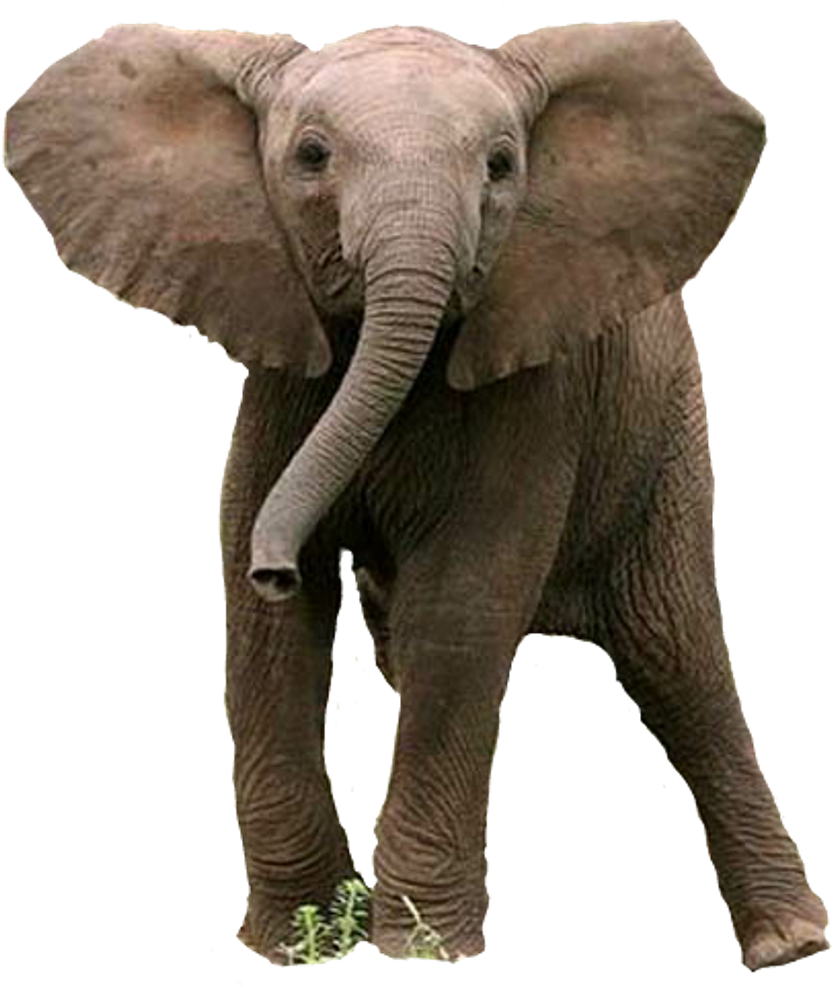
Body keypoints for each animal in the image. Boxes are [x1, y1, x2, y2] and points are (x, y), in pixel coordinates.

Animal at [3, 19, 828, 969]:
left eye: (501, 165)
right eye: (311, 156)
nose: (273, 566)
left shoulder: (535, 391)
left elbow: (460, 605)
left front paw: (423, 948)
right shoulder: (283, 382)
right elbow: (274, 630)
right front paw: (300, 943)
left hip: (663, 430)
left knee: (676, 653)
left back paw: (789, 943)